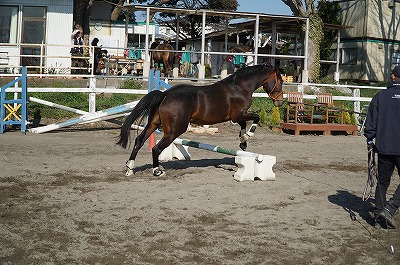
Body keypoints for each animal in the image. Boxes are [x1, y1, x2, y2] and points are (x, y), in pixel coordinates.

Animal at [116, 63, 284, 176]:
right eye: (281, 82)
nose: (280, 102)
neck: (240, 87)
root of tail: (165, 94)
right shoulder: (238, 114)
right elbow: (255, 118)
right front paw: (247, 136)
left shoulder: (236, 116)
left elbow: (244, 124)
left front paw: (243, 142)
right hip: (174, 131)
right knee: (156, 148)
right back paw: (157, 171)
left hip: (154, 123)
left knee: (139, 140)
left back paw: (130, 168)